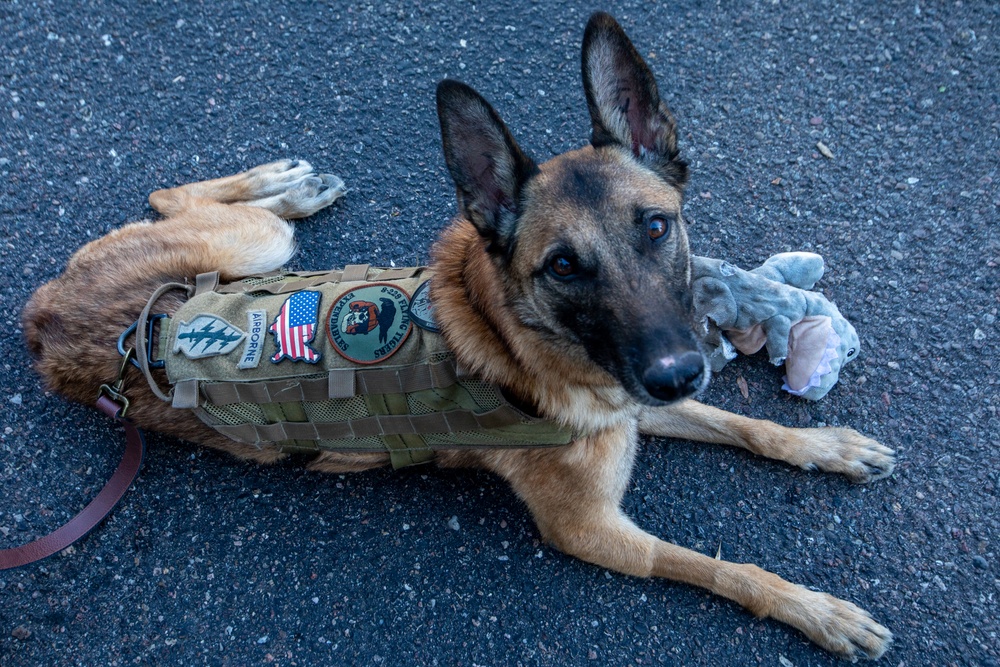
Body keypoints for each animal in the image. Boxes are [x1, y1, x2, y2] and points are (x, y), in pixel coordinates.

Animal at [21, 13, 892, 660]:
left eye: (656, 226)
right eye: (563, 266)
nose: (680, 371)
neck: (527, 341)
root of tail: (48, 320)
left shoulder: (636, 401)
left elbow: (745, 422)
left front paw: (825, 445)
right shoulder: (595, 531)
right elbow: (725, 568)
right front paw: (814, 607)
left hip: (251, 252)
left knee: (171, 196)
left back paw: (288, 182)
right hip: (253, 247)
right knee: (174, 194)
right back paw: (284, 181)